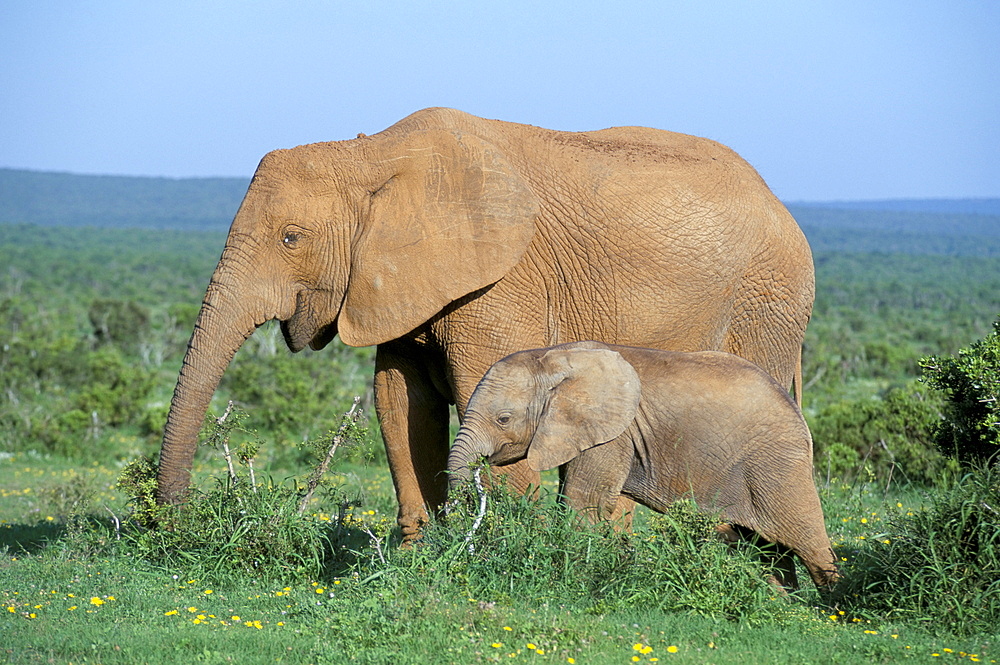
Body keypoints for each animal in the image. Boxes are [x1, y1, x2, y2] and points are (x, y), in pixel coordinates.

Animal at [156, 105, 812, 540]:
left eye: (291, 238)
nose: (173, 522)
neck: (371, 154)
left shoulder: (502, 281)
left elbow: (482, 392)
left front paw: (492, 549)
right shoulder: (400, 283)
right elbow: (400, 403)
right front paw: (418, 556)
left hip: (767, 303)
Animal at [450, 340, 840, 588]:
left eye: (503, 419)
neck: (553, 357)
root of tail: (797, 411)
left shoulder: (614, 434)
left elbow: (584, 502)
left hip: (778, 466)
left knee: (807, 543)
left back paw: (830, 611)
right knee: (766, 550)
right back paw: (782, 603)